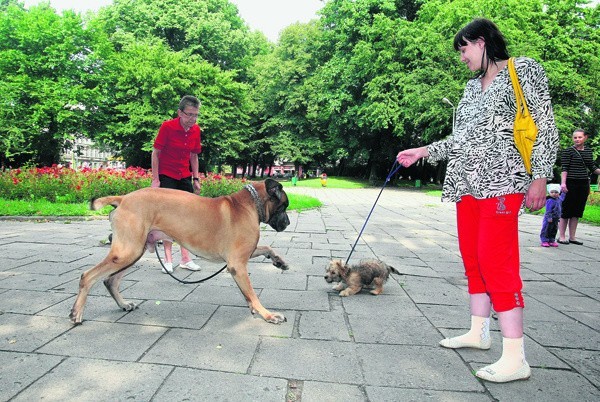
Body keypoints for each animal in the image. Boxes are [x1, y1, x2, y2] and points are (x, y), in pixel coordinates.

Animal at [70, 180, 290, 326]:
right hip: (127, 252)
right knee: (87, 276)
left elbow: (266, 248)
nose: (287, 223)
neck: (247, 204)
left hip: (132, 251)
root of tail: (123, 198)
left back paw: (123, 305)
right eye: (284, 205)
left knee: (110, 280)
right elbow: (252, 294)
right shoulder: (237, 264)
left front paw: (278, 260)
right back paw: (76, 313)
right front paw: (267, 314)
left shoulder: (242, 256)